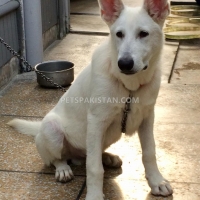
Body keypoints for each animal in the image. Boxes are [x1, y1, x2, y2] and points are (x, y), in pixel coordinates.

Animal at [8, 0, 173, 198]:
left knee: (91, 154)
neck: (130, 87)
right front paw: (94, 195)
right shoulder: (96, 121)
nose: (124, 64)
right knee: (58, 158)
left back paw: (108, 157)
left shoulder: (147, 117)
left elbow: (149, 152)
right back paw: (63, 169)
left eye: (143, 34)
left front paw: (156, 181)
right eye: (119, 34)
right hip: (52, 129)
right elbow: (94, 168)